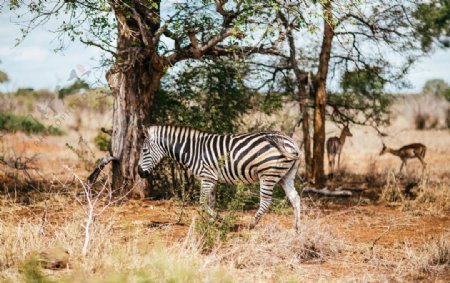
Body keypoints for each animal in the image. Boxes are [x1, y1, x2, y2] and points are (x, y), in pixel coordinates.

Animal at [138, 126, 302, 231]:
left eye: (144, 150)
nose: (140, 173)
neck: (192, 150)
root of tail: (290, 141)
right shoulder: (212, 179)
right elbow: (211, 202)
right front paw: (210, 223)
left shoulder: (207, 177)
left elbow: (202, 202)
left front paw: (221, 220)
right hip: (285, 176)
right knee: (295, 198)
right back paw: (297, 228)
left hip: (268, 173)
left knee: (266, 201)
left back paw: (251, 224)